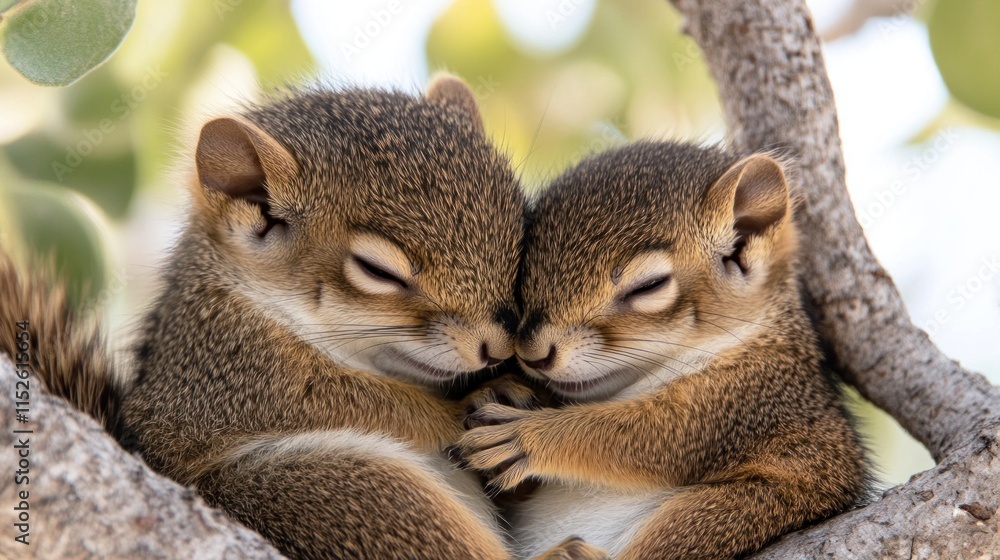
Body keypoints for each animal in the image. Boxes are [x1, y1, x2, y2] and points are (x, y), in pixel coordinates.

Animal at [1, 75, 608, 560]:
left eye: (519, 232)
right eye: (376, 270)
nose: (495, 349)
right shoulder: (223, 375)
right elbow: (352, 400)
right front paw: (470, 403)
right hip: (340, 489)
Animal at [453, 141, 875, 559]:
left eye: (649, 286)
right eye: (522, 272)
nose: (534, 356)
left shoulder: (747, 399)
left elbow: (649, 436)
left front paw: (527, 437)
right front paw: (498, 389)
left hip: (723, 511)